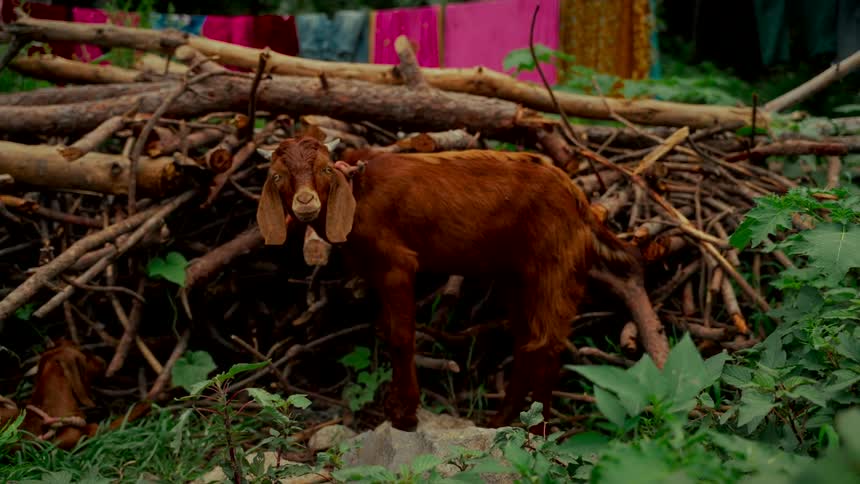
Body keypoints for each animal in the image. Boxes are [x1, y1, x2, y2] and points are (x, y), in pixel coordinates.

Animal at [256, 136, 643, 431]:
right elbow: (386, 331)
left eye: (324, 169)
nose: (305, 202)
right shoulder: (377, 271)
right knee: (526, 343)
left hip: (556, 267)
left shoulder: (397, 264)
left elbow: (401, 337)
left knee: (547, 346)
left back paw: (540, 431)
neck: (359, 189)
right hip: (517, 274)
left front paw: (406, 415)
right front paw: (394, 407)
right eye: (278, 176)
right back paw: (502, 421)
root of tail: (580, 199)